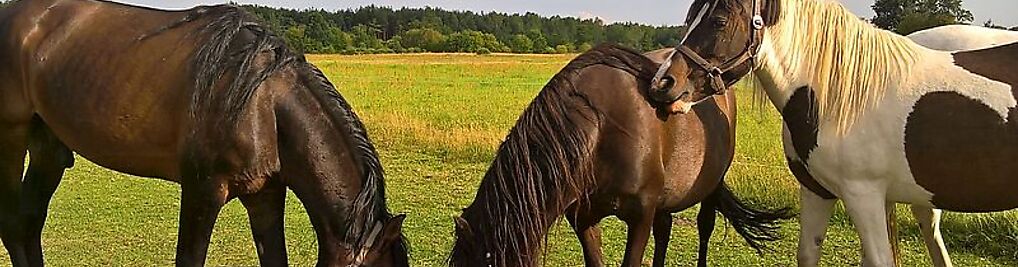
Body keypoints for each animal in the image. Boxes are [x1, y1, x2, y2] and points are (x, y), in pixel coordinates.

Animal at [0, 1, 407, 264]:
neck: (262, 104)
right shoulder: (202, 192)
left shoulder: (265, 195)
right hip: (11, 138)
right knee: (14, 225)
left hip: (48, 148)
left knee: (29, 224)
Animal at [447, 44, 794, 267]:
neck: (599, 130)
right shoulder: (582, 217)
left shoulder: (640, 215)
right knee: (665, 229)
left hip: (710, 187)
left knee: (704, 228)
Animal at [651, 0, 1018, 267]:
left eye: (719, 21)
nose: (662, 84)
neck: (844, 96)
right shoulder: (817, 192)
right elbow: (808, 254)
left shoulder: (864, 196)